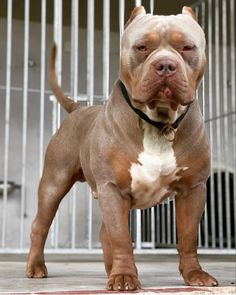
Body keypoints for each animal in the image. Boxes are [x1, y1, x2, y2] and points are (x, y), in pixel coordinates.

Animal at [26, 6, 218, 292]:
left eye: (187, 47)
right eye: (141, 47)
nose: (165, 65)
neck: (158, 123)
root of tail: (79, 109)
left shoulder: (192, 190)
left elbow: (187, 237)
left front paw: (194, 273)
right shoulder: (112, 189)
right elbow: (121, 237)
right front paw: (125, 277)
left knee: (104, 233)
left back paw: (110, 269)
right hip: (54, 183)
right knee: (41, 225)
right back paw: (37, 266)